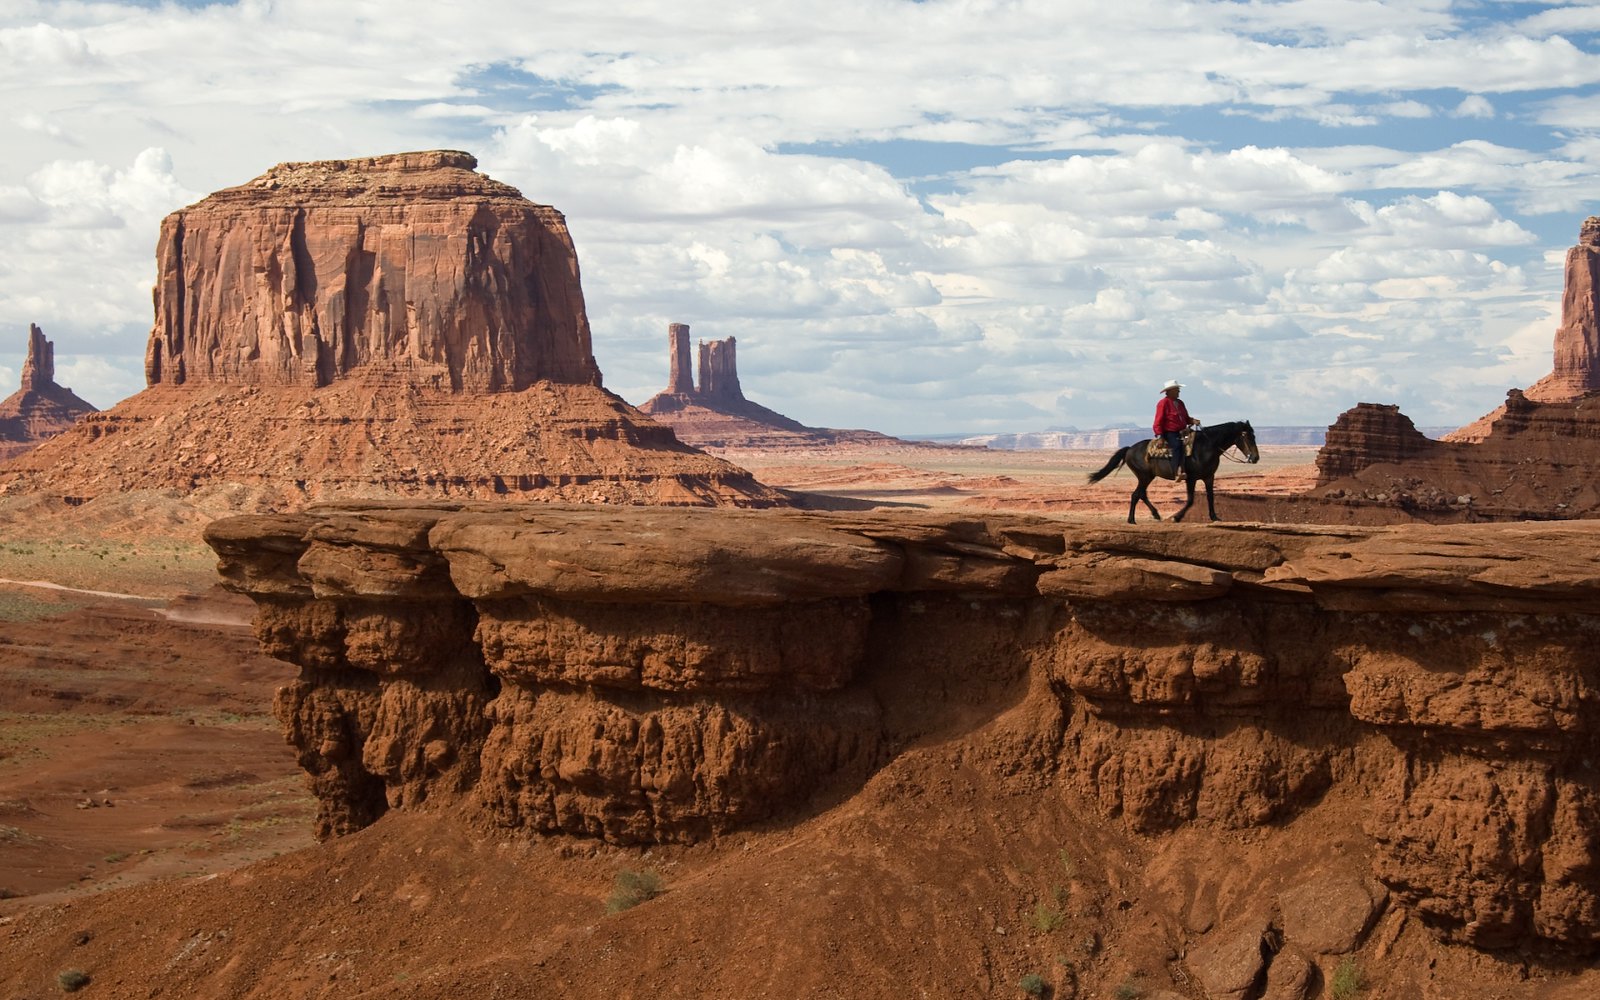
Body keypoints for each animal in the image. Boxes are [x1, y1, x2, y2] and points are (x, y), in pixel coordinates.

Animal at [1088, 419, 1260, 521]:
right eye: (1247, 436)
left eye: (1254, 435)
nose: (1256, 458)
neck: (1207, 447)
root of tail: (1129, 449)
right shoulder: (1191, 478)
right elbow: (1190, 500)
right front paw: (1177, 517)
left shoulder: (1209, 477)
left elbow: (1210, 497)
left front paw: (1214, 517)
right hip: (1144, 476)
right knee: (1136, 494)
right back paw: (1132, 520)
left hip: (1147, 477)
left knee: (1141, 494)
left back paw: (1155, 514)